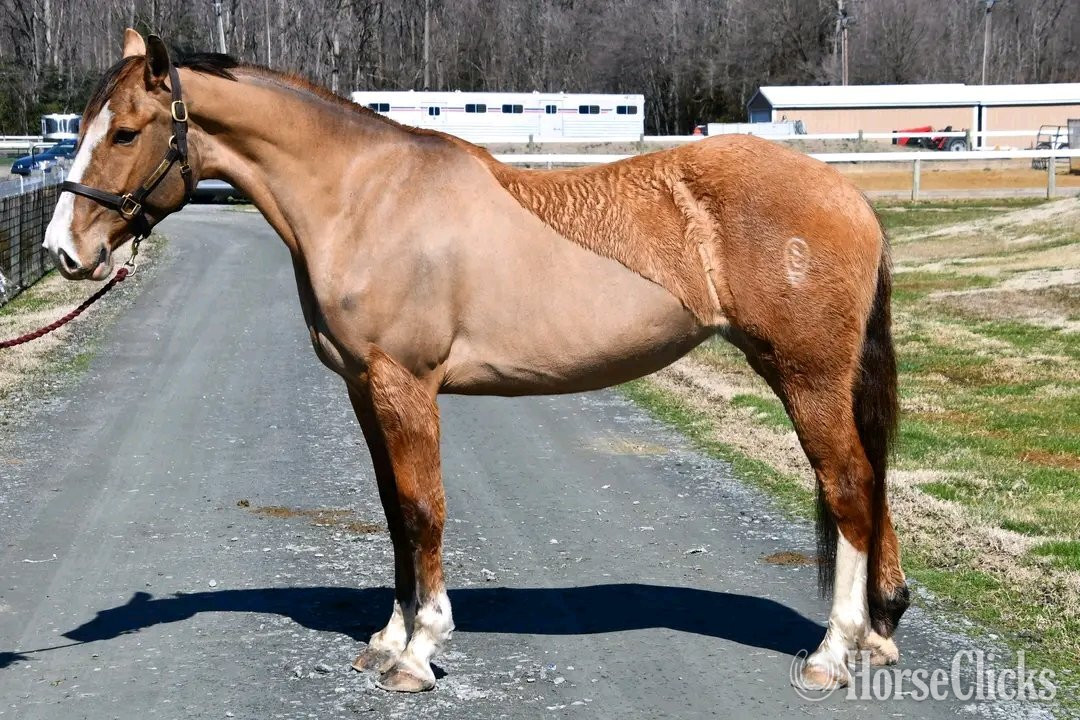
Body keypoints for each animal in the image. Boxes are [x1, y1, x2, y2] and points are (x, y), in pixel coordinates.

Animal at [43, 29, 908, 693]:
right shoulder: (364, 389)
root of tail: (850, 199)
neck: (363, 198)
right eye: (82, 126)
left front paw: (420, 652)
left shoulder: (405, 387)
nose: (63, 251)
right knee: (867, 485)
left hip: (806, 378)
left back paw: (832, 654)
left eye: (126, 133)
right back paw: (877, 633)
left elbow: (424, 509)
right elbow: (394, 511)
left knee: (848, 487)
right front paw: (389, 639)